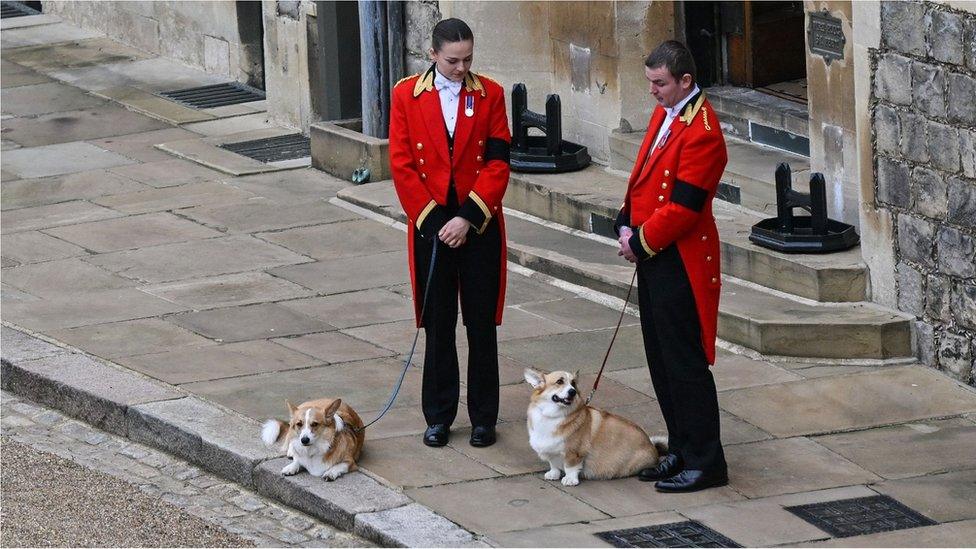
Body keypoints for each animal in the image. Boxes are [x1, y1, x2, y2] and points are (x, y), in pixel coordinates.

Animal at [524, 368, 668, 484]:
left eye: (573, 383)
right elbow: (553, 464)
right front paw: (553, 474)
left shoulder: (574, 453)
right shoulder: (551, 451)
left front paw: (570, 480)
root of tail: (652, 446)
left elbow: (571, 467)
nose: (573, 392)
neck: (553, 415)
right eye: (560, 381)